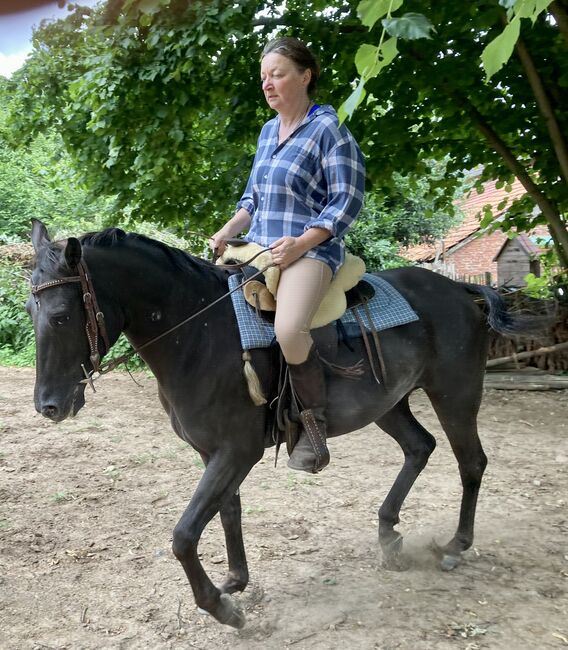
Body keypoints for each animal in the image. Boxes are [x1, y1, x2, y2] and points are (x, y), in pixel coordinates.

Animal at [28, 219, 536, 628]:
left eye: (61, 315)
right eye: (33, 312)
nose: (48, 406)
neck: (200, 333)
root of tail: (461, 291)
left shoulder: (237, 451)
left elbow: (185, 534)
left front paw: (223, 609)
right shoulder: (213, 453)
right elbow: (227, 512)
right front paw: (235, 581)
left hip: (455, 394)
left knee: (471, 462)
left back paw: (454, 546)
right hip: (389, 404)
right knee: (420, 447)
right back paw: (389, 535)